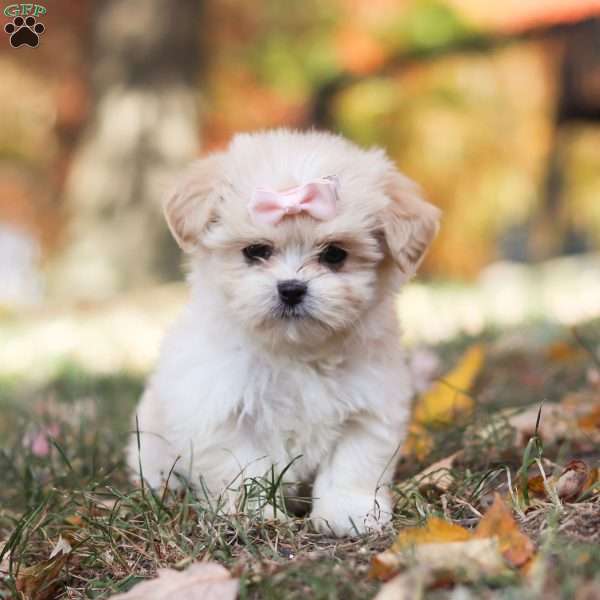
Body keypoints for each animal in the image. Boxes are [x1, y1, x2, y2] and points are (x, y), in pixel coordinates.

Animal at [126, 129, 438, 536]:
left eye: (335, 254)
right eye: (256, 251)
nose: (291, 289)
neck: (295, 353)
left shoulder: (368, 407)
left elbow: (352, 465)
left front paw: (349, 513)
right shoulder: (222, 410)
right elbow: (243, 470)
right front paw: (256, 514)